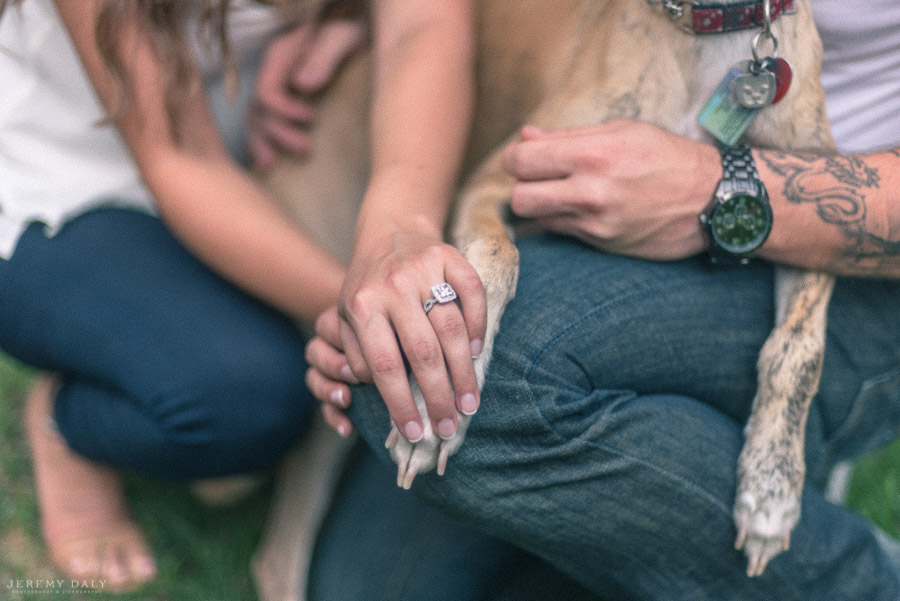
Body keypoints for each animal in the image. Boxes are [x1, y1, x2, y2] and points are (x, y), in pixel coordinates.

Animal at [255, 0, 836, 584]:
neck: (705, 41)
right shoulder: (496, 176)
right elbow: (494, 263)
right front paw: (436, 411)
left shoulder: (799, 216)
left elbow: (799, 349)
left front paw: (771, 490)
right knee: (277, 555)